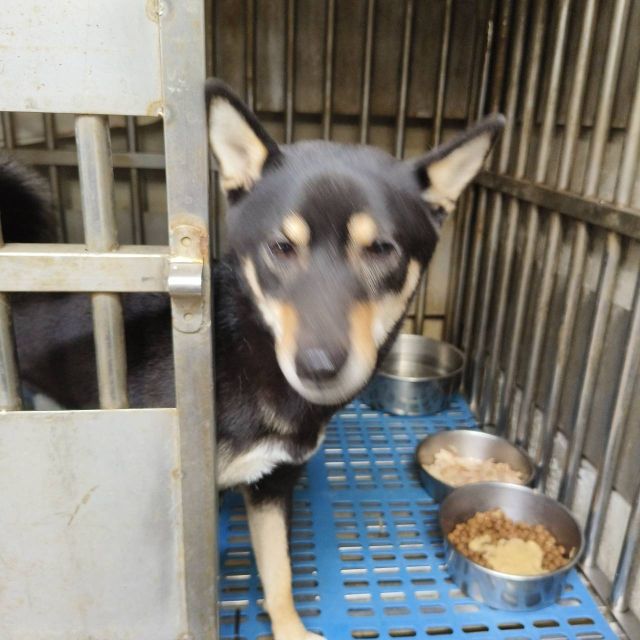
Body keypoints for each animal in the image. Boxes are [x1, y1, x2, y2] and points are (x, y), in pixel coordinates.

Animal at [2, 80, 503, 639]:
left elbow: (278, 570)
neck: (246, 354)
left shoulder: (272, 484)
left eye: (381, 250)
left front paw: (289, 628)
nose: (317, 364)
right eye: (281, 247)